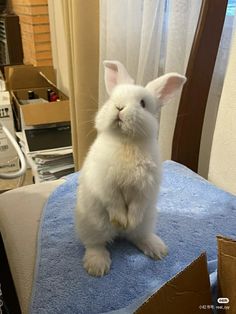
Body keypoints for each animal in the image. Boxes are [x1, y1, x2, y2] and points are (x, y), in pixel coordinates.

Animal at [76, 60, 186, 276]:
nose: (119, 107)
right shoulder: (105, 183)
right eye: (112, 98)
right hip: (92, 225)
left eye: (143, 103)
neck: (126, 141)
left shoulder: (145, 187)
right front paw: (121, 220)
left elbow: (136, 205)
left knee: (137, 236)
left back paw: (157, 249)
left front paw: (130, 221)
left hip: (147, 220)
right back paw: (97, 267)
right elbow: (114, 202)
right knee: (95, 244)